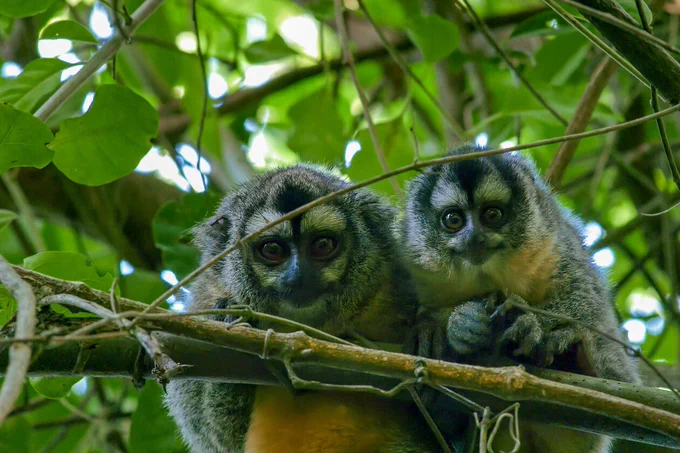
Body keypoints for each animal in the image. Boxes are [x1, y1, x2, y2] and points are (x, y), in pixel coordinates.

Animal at [165, 164, 441, 453]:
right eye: (272, 249)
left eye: (322, 245)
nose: (298, 276)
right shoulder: (205, 299)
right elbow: (213, 434)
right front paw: (230, 322)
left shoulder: (397, 280)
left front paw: (427, 332)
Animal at [399, 144, 640, 452]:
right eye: (453, 220)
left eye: (492, 214)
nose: (474, 238)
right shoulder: (414, 263)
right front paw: (456, 326)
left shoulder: (554, 239)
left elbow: (585, 294)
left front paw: (530, 326)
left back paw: (576, 357)